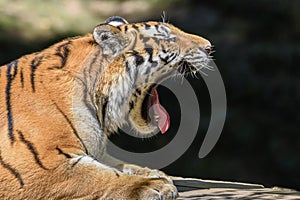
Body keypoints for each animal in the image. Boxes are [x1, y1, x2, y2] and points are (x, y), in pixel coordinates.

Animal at [0, 16, 211, 199]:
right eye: (168, 38)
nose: (209, 47)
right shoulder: (42, 164)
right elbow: (100, 176)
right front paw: (152, 185)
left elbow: (117, 164)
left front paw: (154, 174)